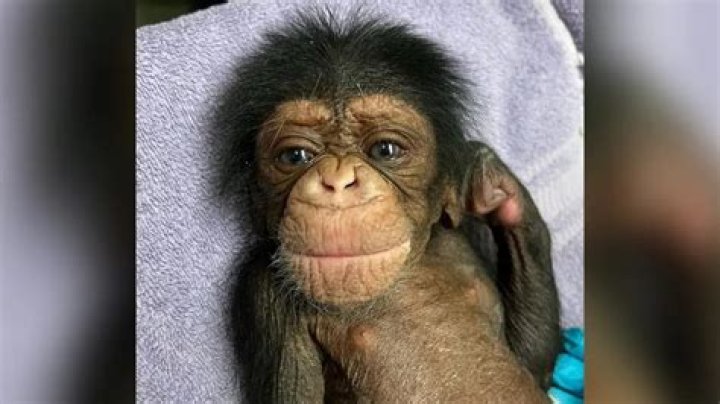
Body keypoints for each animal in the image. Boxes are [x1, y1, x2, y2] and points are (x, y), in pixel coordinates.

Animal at [221, 10, 561, 403]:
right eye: (295, 156)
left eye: (385, 150)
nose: (338, 182)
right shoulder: (264, 293)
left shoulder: (458, 240)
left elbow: (535, 364)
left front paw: (490, 179)